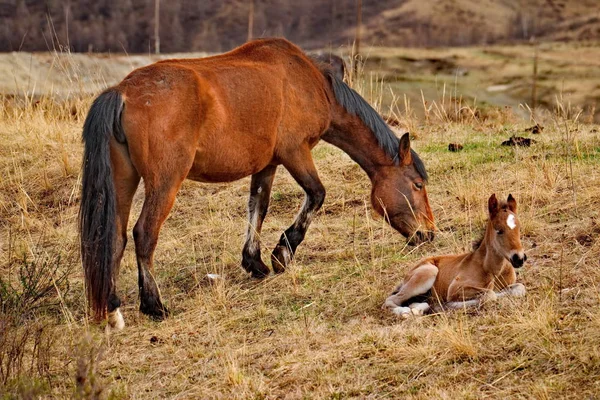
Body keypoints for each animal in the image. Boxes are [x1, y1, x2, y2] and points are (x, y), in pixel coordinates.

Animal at [79, 38, 436, 332]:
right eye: (417, 184)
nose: (429, 234)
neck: (312, 84)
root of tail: (122, 92)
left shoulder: (267, 164)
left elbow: (258, 208)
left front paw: (255, 262)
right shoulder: (295, 152)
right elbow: (316, 195)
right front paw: (282, 254)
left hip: (124, 181)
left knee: (115, 238)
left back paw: (113, 311)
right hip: (165, 183)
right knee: (144, 234)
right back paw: (154, 305)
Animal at [382, 193, 528, 316]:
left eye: (519, 228)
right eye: (499, 230)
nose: (519, 258)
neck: (492, 270)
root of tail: (407, 275)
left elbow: (519, 289)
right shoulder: (455, 288)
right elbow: (489, 295)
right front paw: (445, 305)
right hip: (428, 271)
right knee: (390, 300)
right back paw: (406, 312)